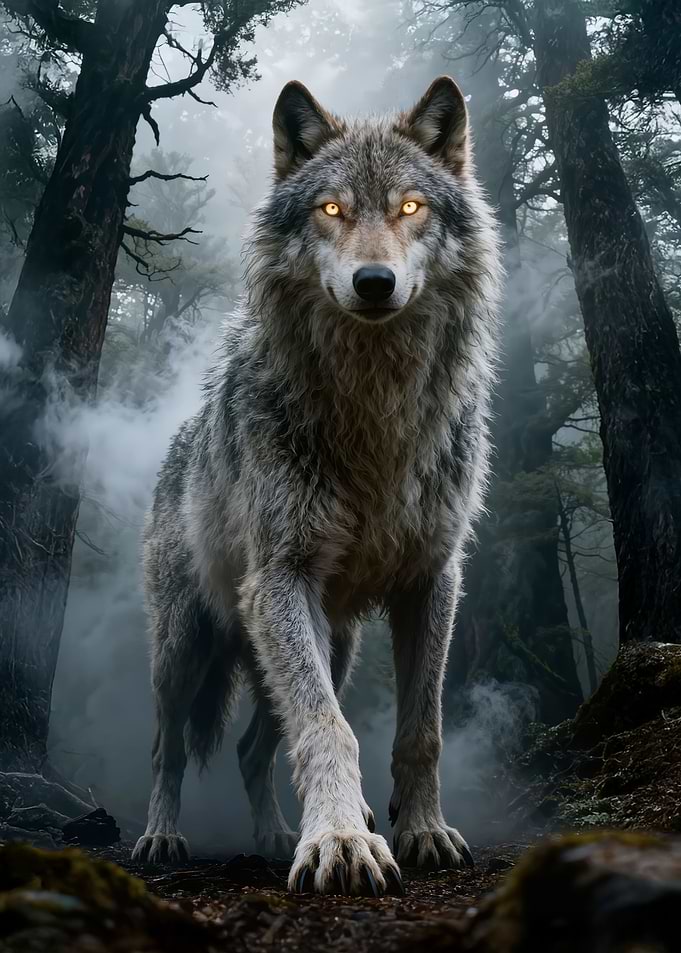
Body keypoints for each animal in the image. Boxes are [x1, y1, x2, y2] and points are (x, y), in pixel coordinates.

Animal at [132, 75, 501, 896]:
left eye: (409, 207)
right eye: (331, 210)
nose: (374, 282)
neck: (375, 413)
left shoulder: (433, 581)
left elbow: (420, 729)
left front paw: (420, 830)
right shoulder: (282, 579)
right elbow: (329, 727)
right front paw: (339, 840)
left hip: (333, 644)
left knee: (250, 751)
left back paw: (274, 834)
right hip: (186, 652)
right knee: (169, 749)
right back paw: (162, 836)